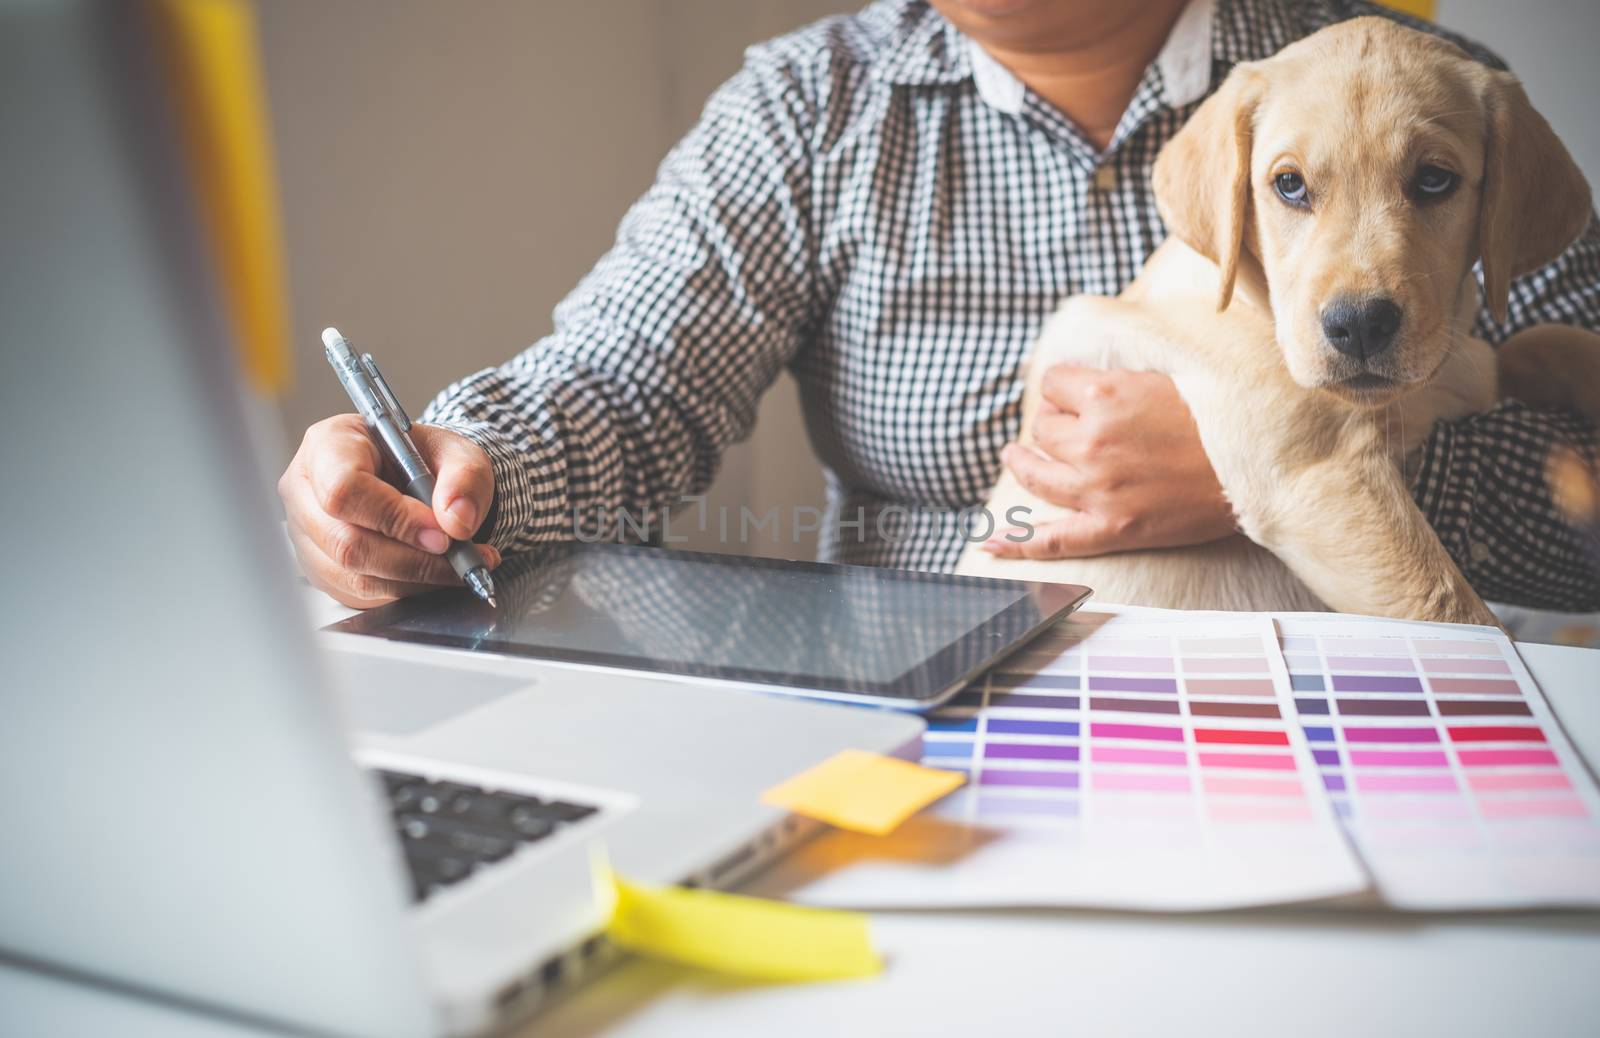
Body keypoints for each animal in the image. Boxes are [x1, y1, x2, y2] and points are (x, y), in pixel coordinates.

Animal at [953, 18, 1593, 623]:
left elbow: (1539, 340)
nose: (1359, 325)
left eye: (1435, 180)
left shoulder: (1458, 365)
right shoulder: (1321, 476)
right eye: (1289, 185)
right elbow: (1456, 612)